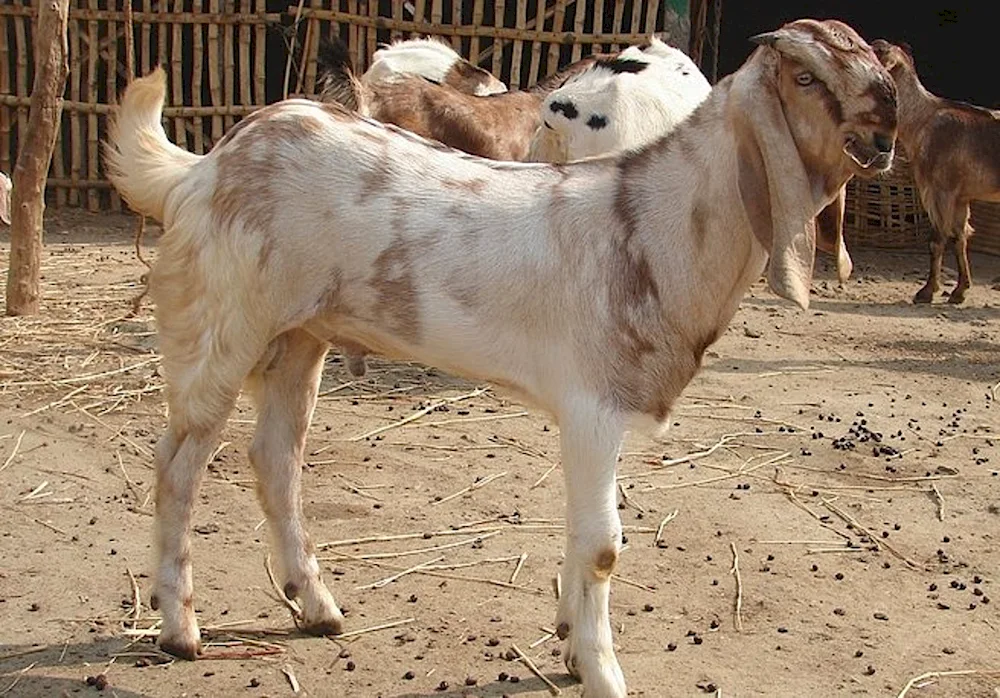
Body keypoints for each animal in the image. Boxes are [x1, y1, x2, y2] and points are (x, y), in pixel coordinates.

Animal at [105, 17, 896, 696]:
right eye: (804, 77)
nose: (887, 124)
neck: (652, 225)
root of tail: (203, 169)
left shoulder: (589, 419)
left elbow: (582, 535)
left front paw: (574, 648)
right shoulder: (593, 406)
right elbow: (604, 544)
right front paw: (604, 674)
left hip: (299, 337)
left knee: (275, 459)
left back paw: (317, 607)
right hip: (221, 325)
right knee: (178, 466)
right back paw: (180, 629)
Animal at [872, 40, 1000, 302]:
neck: (923, 121)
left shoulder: (942, 191)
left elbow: (937, 239)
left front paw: (927, 291)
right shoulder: (960, 197)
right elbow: (960, 238)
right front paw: (960, 290)